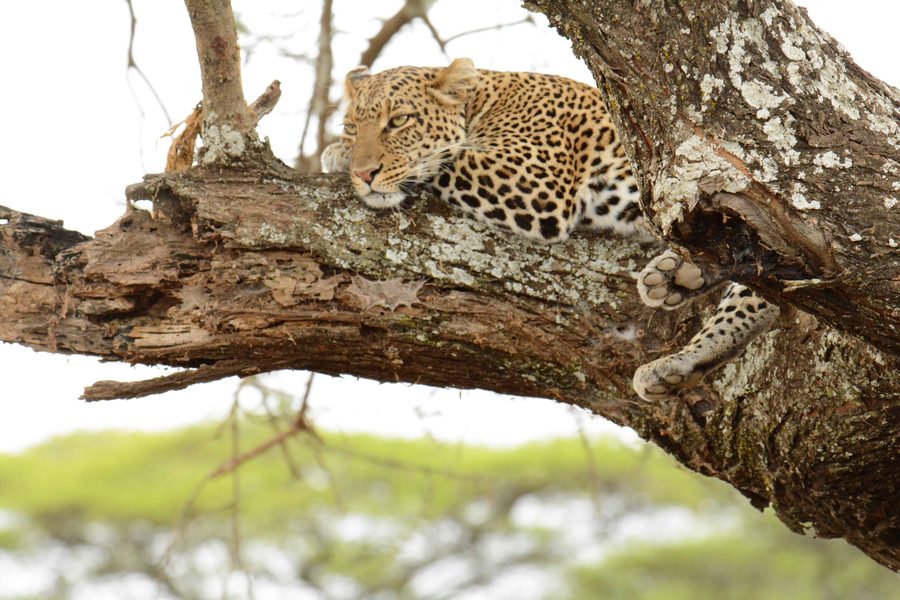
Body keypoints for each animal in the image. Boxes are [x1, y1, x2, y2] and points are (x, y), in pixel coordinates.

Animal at [321, 58, 780, 402]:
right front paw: (343, 153)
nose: (363, 174)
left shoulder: (537, 182)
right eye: (352, 126)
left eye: (399, 121)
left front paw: (338, 156)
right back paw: (677, 299)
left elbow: (447, 156)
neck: (484, 101)